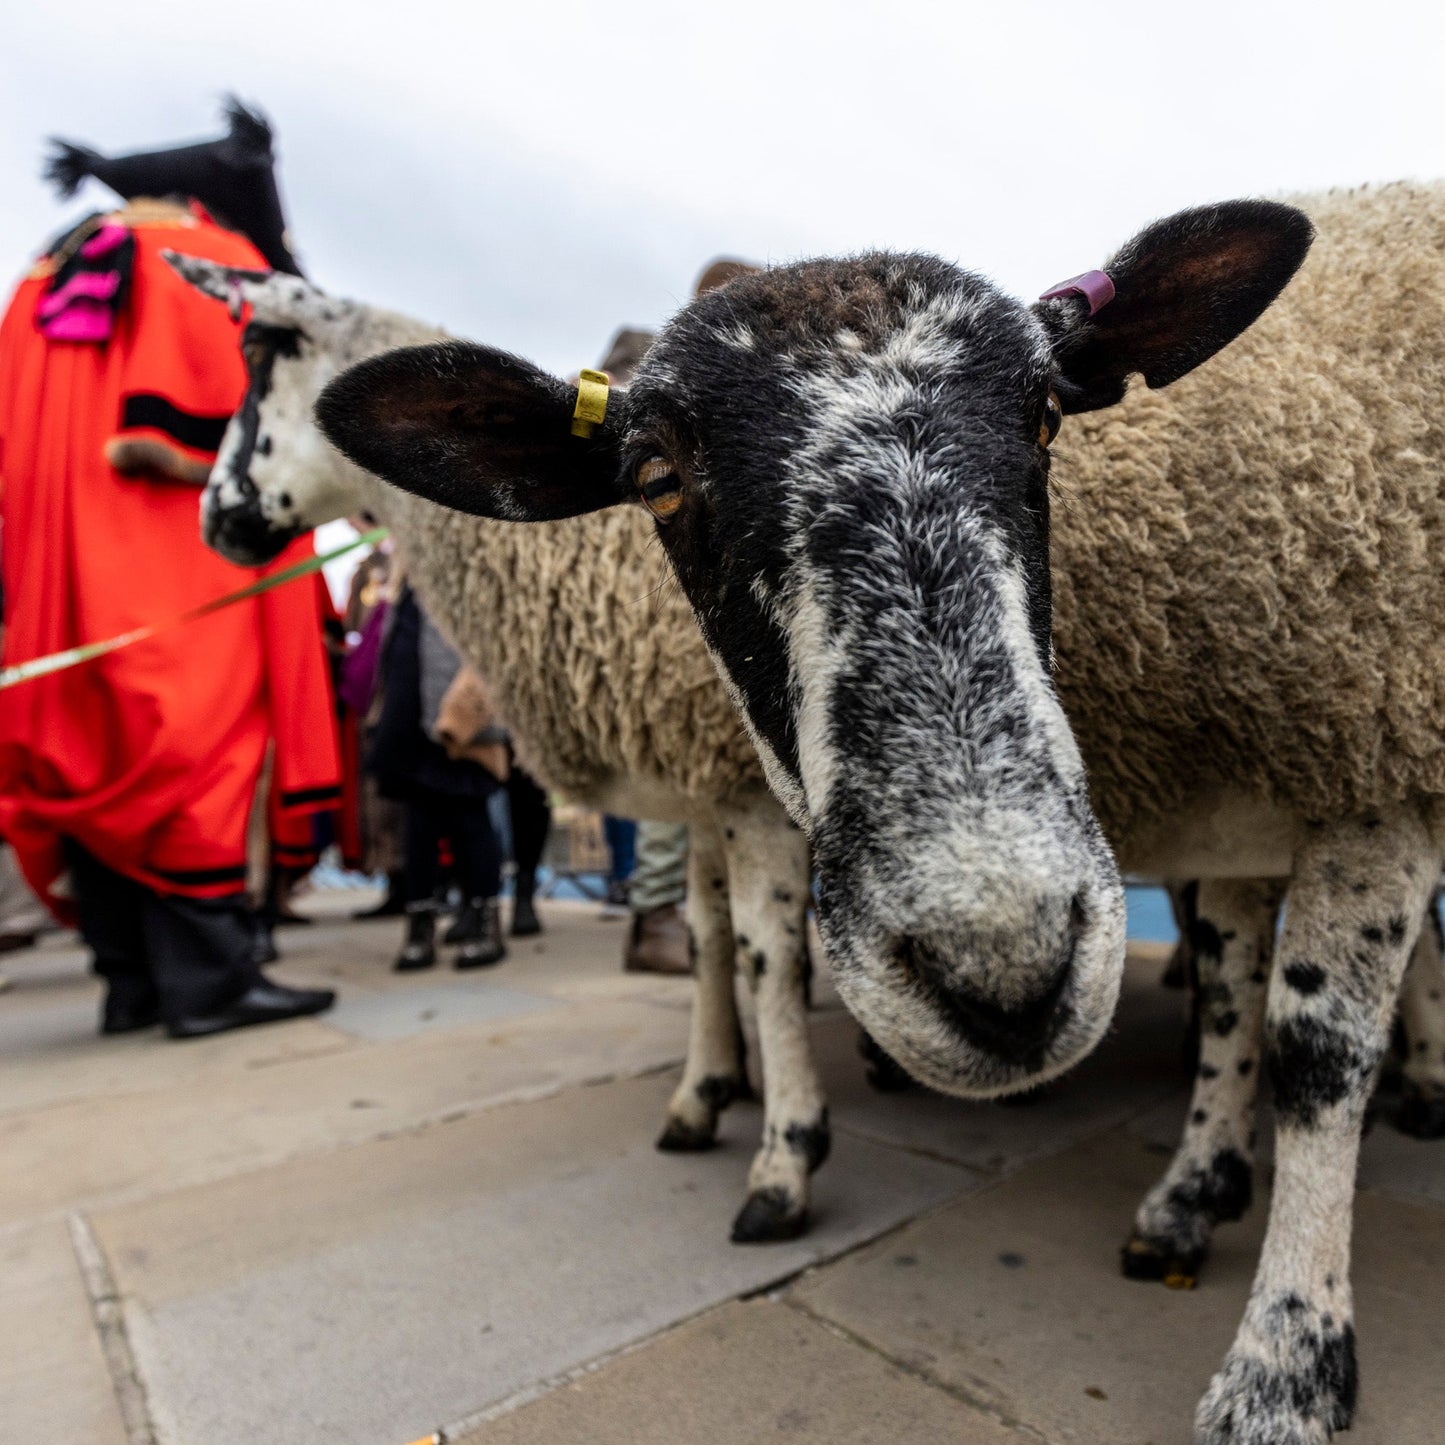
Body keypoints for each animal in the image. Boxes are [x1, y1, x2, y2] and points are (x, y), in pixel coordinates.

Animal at [163, 252, 828, 1245]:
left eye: (259, 356)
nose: (213, 520)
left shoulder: (748, 782)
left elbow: (764, 950)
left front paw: (785, 1155)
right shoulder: (707, 775)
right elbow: (707, 936)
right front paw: (704, 1089)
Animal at [317, 182, 1445, 1444]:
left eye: (1046, 414)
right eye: (654, 476)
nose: (1003, 971)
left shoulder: (1373, 768)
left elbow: (1314, 1051)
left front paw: (1283, 1365)